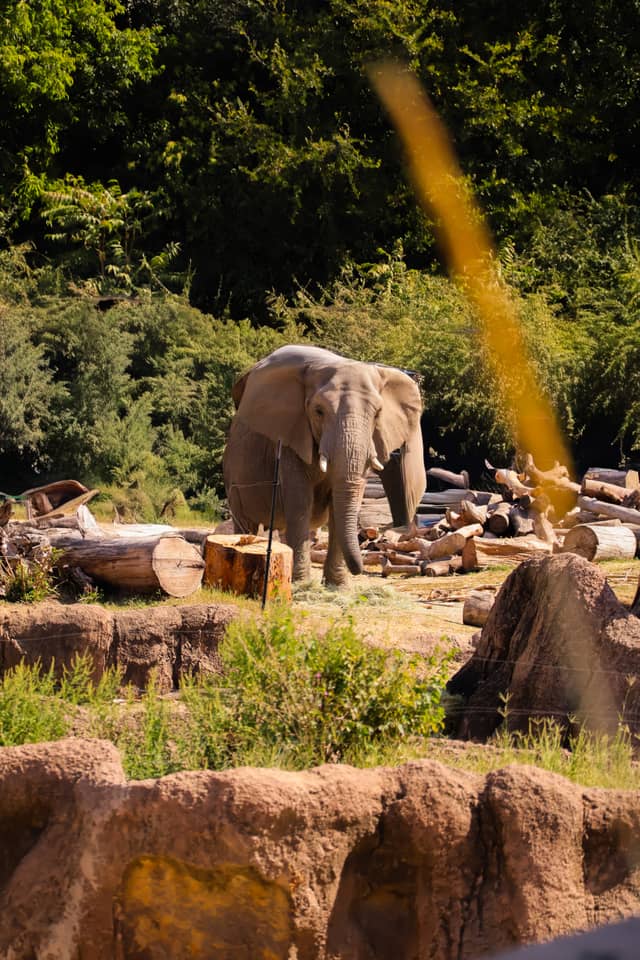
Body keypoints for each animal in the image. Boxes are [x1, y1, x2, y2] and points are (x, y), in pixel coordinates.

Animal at [223, 344, 426, 586]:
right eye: (318, 411)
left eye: (377, 414)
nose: (381, 560)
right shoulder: (292, 434)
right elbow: (300, 500)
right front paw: (301, 585)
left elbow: (343, 502)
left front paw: (336, 587)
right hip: (233, 472)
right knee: (246, 522)